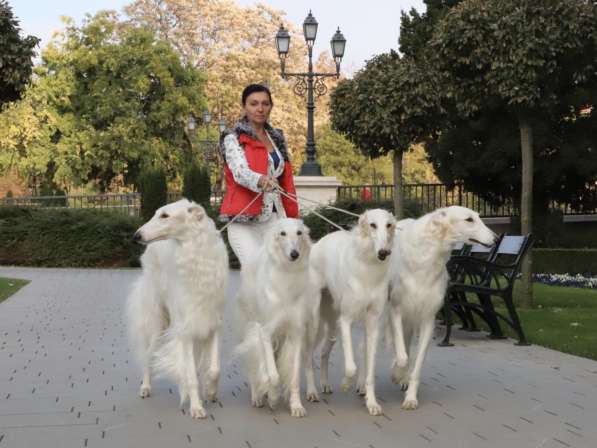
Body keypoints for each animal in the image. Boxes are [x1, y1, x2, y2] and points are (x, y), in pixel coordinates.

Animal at [127, 198, 227, 418]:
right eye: (156, 213)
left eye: (165, 215)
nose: (136, 236)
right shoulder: (185, 328)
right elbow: (190, 375)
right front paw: (196, 407)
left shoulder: (213, 322)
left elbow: (215, 369)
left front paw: (211, 391)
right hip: (158, 321)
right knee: (148, 355)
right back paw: (145, 387)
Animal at [235, 217, 314, 416]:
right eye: (282, 233)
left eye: (299, 233)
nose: (294, 254)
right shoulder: (266, 333)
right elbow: (273, 375)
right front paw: (272, 397)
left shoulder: (296, 333)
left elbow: (293, 376)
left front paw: (296, 406)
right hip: (251, 328)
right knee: (254, 364)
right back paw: (257, 396)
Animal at [308, 208, 396, 414]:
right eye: (372, 225)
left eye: (389, 225)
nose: (383, 252)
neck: (368, 268)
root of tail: (317, 243)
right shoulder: (346, 320)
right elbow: (350, 367)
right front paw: (346, 383)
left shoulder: (373, 324)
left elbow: (369, 371)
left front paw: (372, 403)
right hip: (317, 322)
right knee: (307, 357)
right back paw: (311, 392)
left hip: (332, 324)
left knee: (324, 352)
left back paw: (324, 384)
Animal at [386, 206, 494, 410]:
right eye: (469, 219)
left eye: (478, 217)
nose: (496, 238)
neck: (426, 256)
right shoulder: (396, 311)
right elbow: (402, 356)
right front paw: (396, 374)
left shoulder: (427, 319)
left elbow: (416, 362)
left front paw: (410, 397)